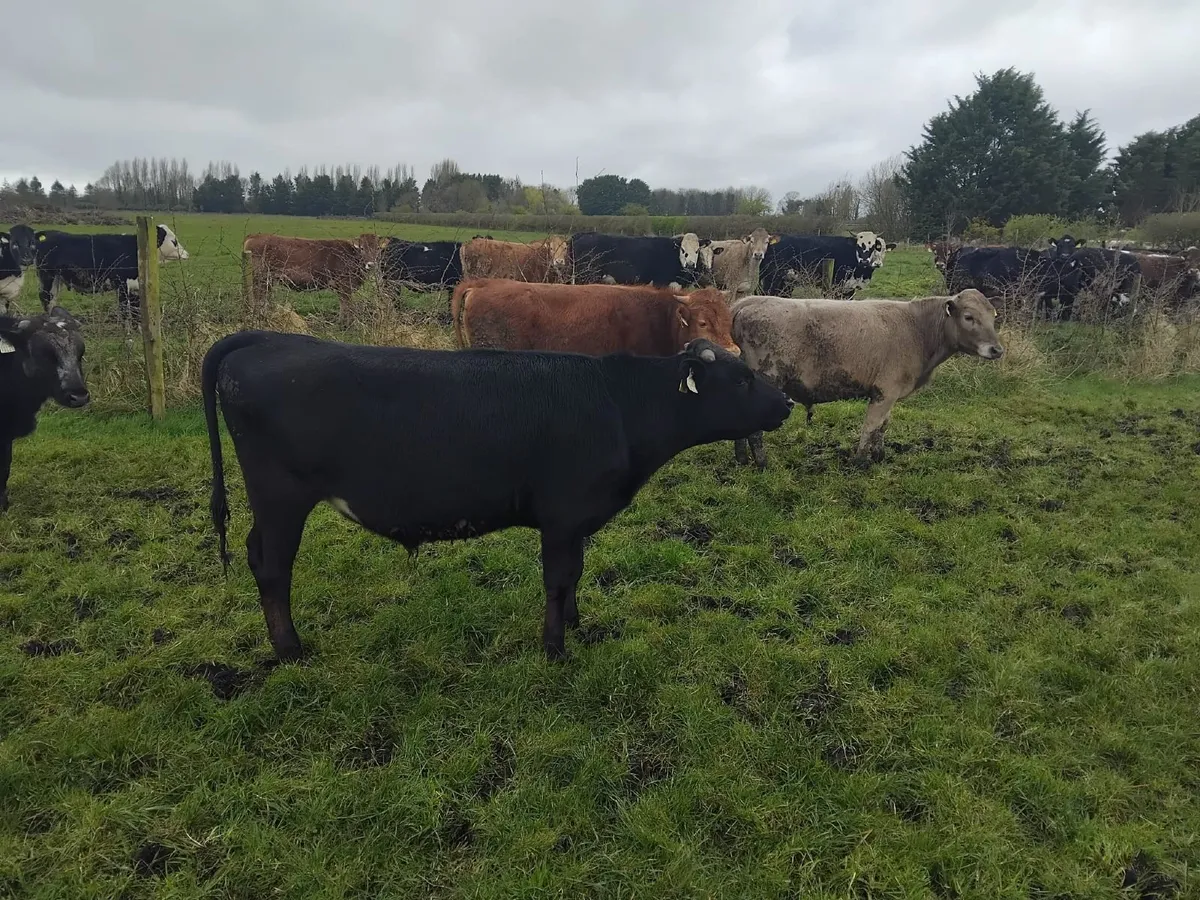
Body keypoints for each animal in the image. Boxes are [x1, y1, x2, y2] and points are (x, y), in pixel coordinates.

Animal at [33, 225, 189, 326]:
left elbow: (136, 309)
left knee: (52, 300)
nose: (186, 254)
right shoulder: (122, 284)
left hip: (56, 280)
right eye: (174, 241)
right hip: (47, 277)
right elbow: (125, 309)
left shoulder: (135, 286)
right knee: (46, 298)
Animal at [202, 331, 792, 662]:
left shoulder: (574, 521)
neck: (617, 403)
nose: (786, 402)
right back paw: (290, 651)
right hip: (281, 498)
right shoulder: (562, 515)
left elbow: (575, 576)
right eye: (742, 379)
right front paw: (555, 649)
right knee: (272, 566)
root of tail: (268, 338)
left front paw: (576, 626)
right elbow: (557, 579)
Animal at [242, 233, 384, 324]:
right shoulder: (345, 285)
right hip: (260, 276)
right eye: (362, 248)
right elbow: (347, 305)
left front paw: (341, 322)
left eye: (377, 248)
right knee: (258, 295)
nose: (371, 264)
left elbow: (343, 304)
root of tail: (255, 235)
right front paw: (347, 324)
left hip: (268, 280)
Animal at [729, 289, 1004, 468]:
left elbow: (882, 427)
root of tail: (751, 302)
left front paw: (879, 457)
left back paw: (742, 460)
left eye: (993, 316)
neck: (917, 329)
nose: (997, 350)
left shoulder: (889, 395)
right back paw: (762, 464)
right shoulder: (885, 392)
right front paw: (860, 462)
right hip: (768, 381)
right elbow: (870, 427)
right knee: (754, 430)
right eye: (969, 317)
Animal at [758, 234, 888, 299]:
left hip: (786, 282)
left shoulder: (849, 288)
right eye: (859, 246)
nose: (866, 261)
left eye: (882, 249)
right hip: (771, 279)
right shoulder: (834, 285)